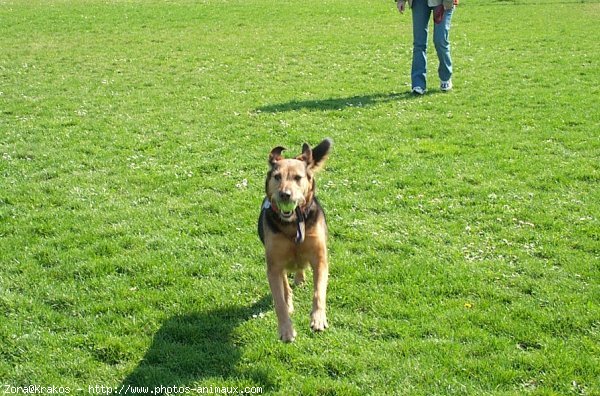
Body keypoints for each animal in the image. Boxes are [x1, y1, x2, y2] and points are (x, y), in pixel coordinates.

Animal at [258, 138, 332, 342]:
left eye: (298, 178)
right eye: (277, 177)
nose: (285, 195)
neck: (292, 223)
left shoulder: (320, 259)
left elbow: (319, 292)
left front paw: (318, 318)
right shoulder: (274, 265)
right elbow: (280, 301)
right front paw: (286, 330)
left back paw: (300, 277)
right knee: (286, 285)